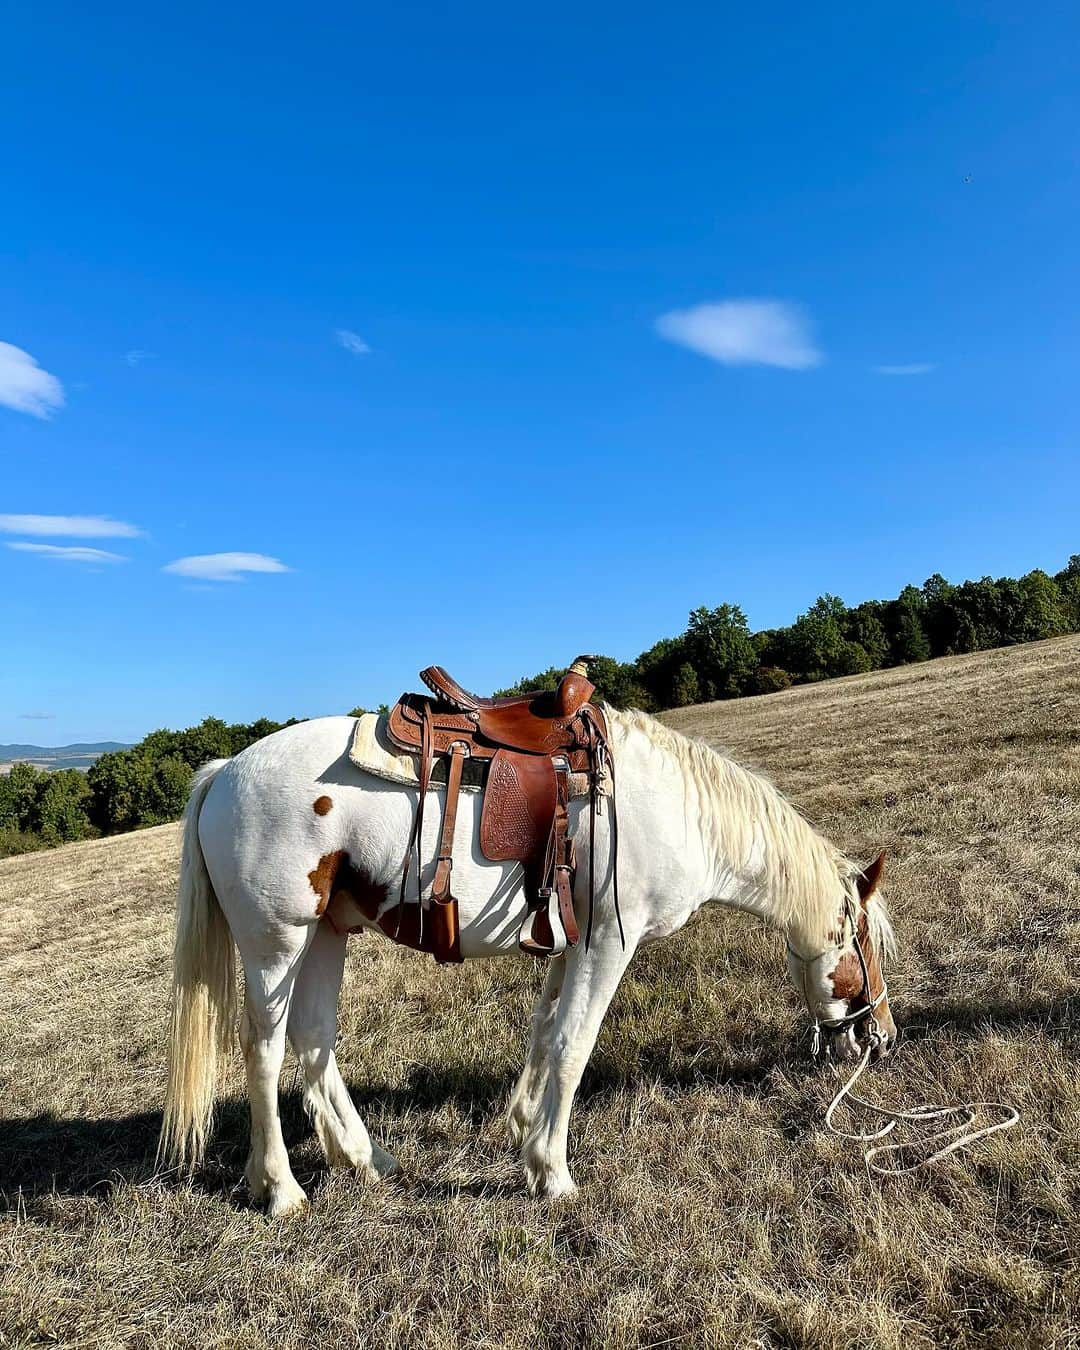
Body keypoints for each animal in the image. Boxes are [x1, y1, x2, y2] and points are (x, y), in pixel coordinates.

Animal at [160, 707, 896, 1215]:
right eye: (865, 946)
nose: (882, 1036)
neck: (674, 810)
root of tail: (224, 773)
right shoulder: (610, 943)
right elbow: (574, 1045)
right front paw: (551, 1170)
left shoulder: (574, 944)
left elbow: (545, 1033)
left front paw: (520, 1124)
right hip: (276, 943)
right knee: (264, 1050)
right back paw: (280, 1188)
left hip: (326, 934)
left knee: (314, 1040)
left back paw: (366, 1159)